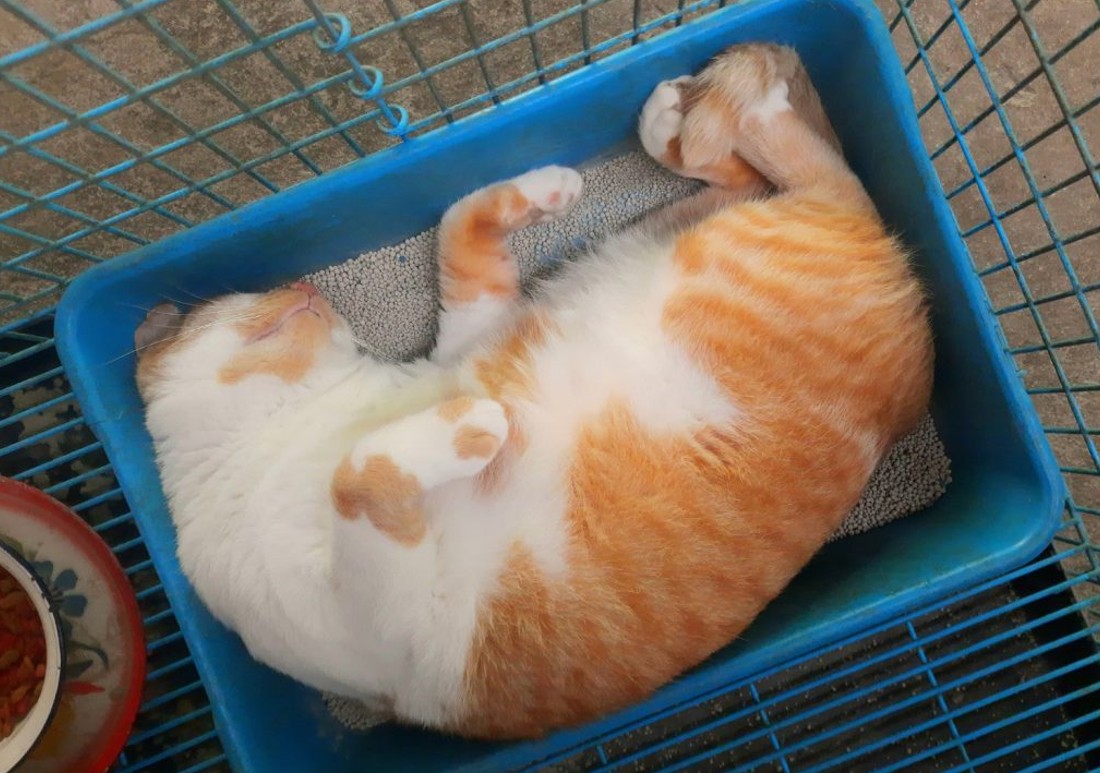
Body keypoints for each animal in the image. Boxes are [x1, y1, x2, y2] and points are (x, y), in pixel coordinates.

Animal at [133, 45, 932, 738]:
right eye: (243, 295)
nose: (302, 285)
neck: (303, 420)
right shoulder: (387, 620)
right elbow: (359, 473)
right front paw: (471, 425)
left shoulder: (467, 337)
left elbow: (457, 229)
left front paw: (542, 192)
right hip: (694, 230)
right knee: (775, 170)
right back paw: (692, 116)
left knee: (787, 165)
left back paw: (686, 115)